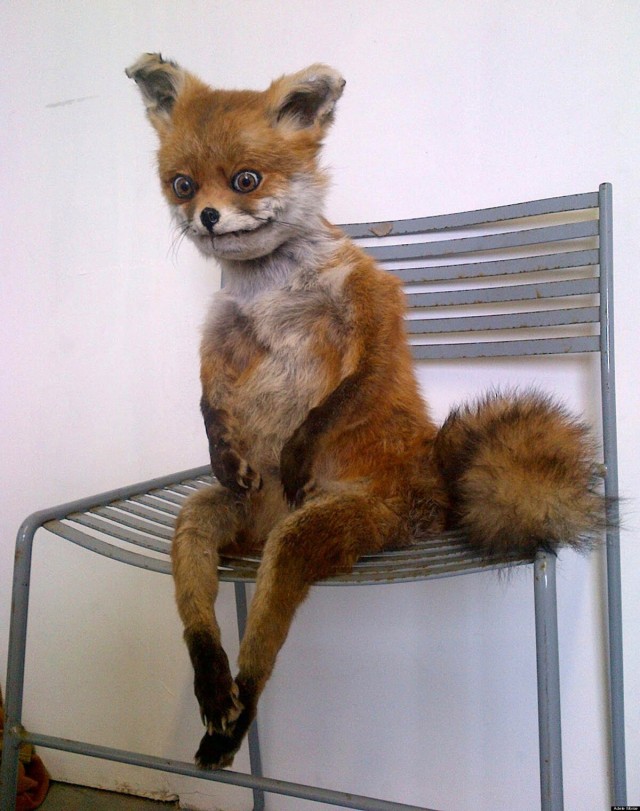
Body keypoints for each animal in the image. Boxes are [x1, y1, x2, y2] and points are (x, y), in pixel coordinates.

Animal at [126, 53, 606, 769]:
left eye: (246, 180)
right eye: (182, 185)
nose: (207, 216)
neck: (270, 292)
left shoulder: (371, 310)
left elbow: (343, 396)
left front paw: (297, 446)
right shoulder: (220, 338)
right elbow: (209, 398)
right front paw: (220, 444)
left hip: (316, 531)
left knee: (265, 637)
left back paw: (240, 705)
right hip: (207, 518)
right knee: (197, 601)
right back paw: (213, 688)